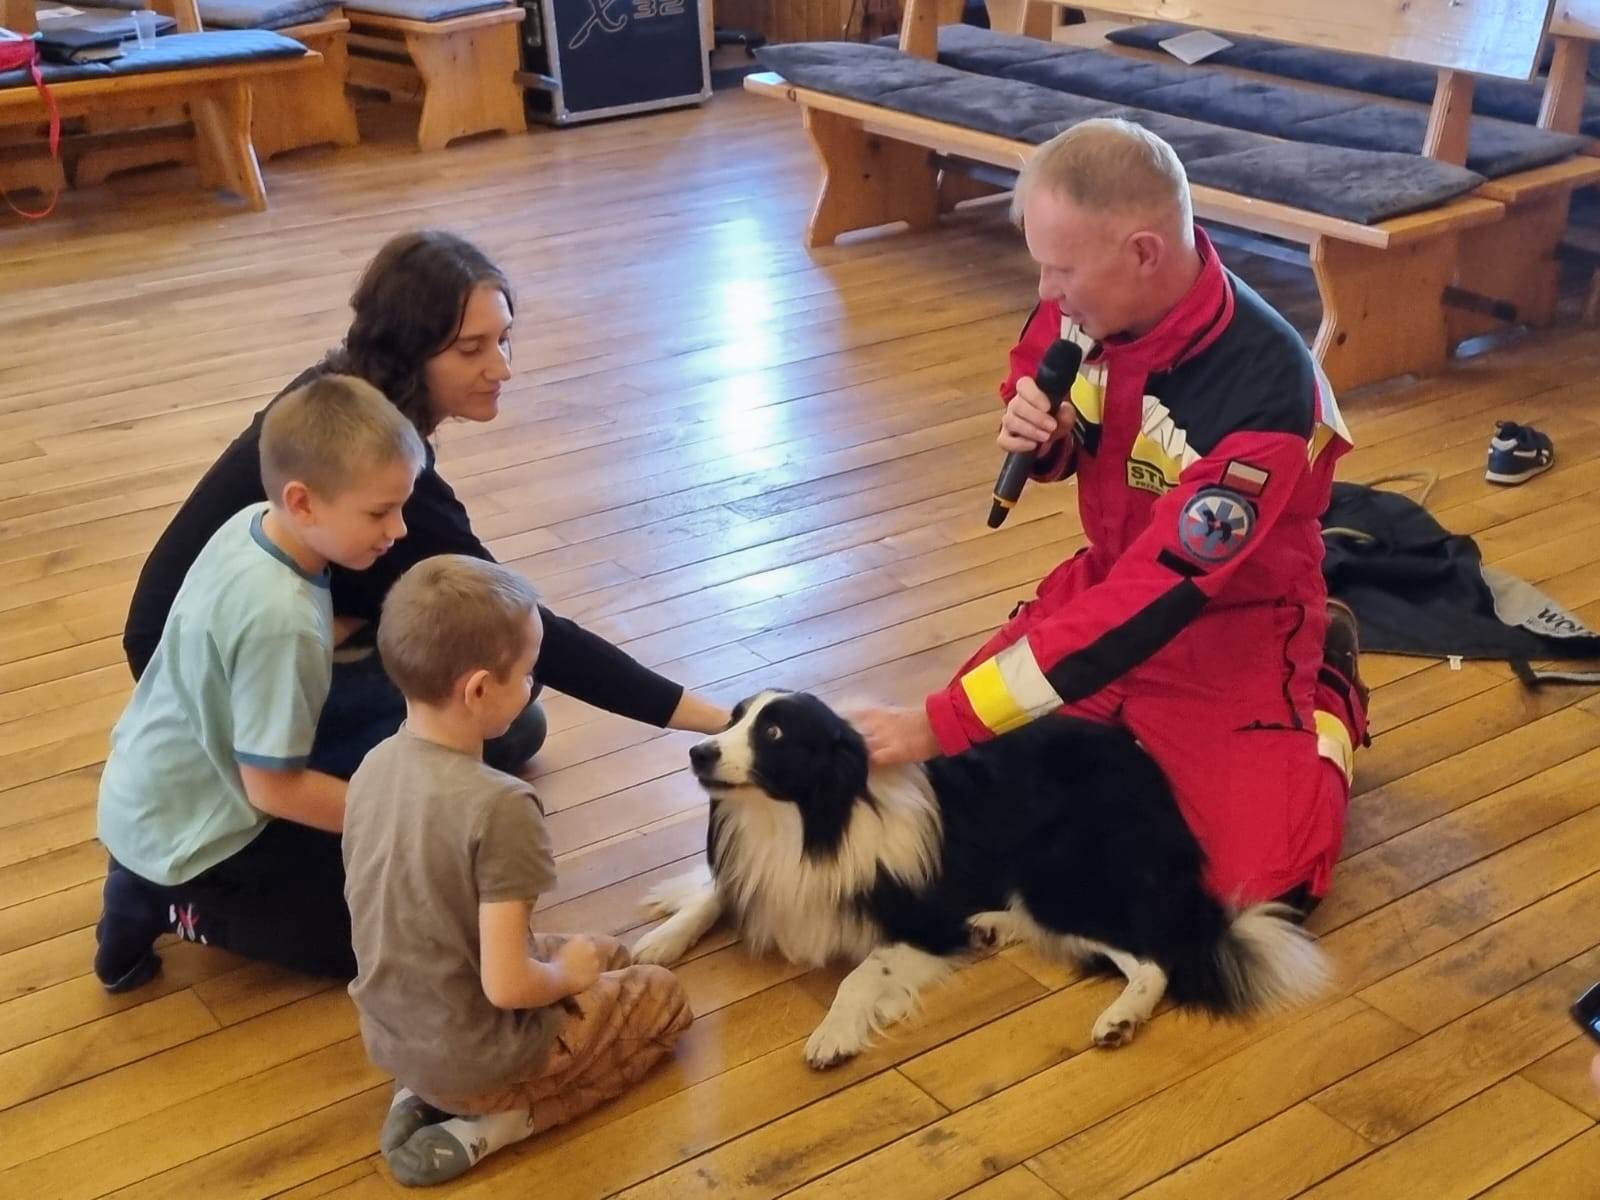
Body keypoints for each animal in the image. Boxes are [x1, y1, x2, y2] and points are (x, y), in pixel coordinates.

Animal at [632, 690, 1330, 1068]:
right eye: (732, 720)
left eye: (774, 732)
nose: (697, 752)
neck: (808, 819)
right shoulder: (759, 871)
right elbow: (715, 892)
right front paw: (661, 941)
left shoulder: (923, 922)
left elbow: (864, 972)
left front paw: (832, 1035)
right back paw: (992, 926)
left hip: (1062, 870)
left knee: (1156, 957)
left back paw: (1119, 1018)